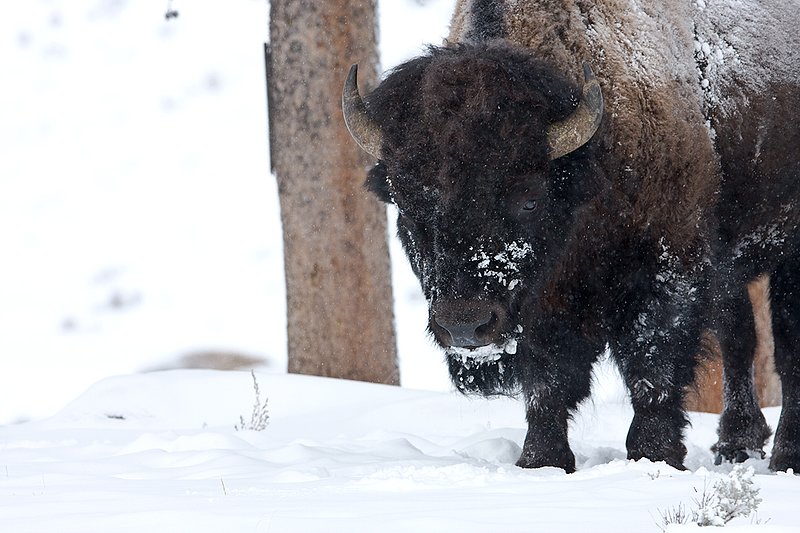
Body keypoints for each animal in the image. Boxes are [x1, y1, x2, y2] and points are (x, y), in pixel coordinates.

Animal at [342, 0, 800, 473]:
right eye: (405, 204)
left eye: (528, 199)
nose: (465, 324)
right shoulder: (543, 306)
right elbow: (547, 382)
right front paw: (541, 460)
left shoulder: (668, 267)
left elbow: (652, 369)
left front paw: (654, 456)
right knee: (740, 336)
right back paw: (736, 444)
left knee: (785, 349)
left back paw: (785, 456)